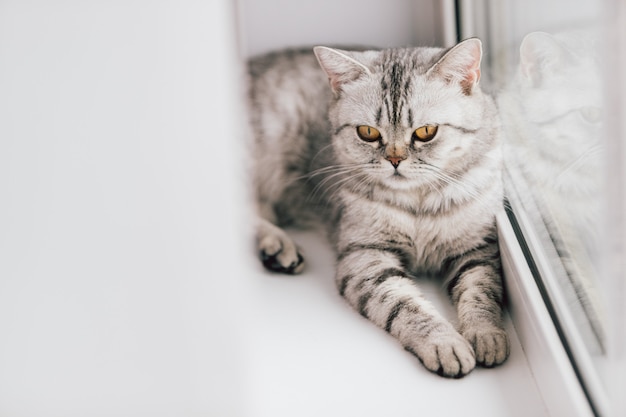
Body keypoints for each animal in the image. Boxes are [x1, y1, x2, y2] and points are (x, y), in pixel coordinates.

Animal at [244, 39, 508, 376]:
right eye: (367, 133)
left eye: (426, 132)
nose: (395, 160)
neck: (418, 201)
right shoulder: (366, 256)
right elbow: (404, 305)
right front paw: (444, 342)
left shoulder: (477, 248)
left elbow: (480, 290)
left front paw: (486, 334)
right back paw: (278, 244)